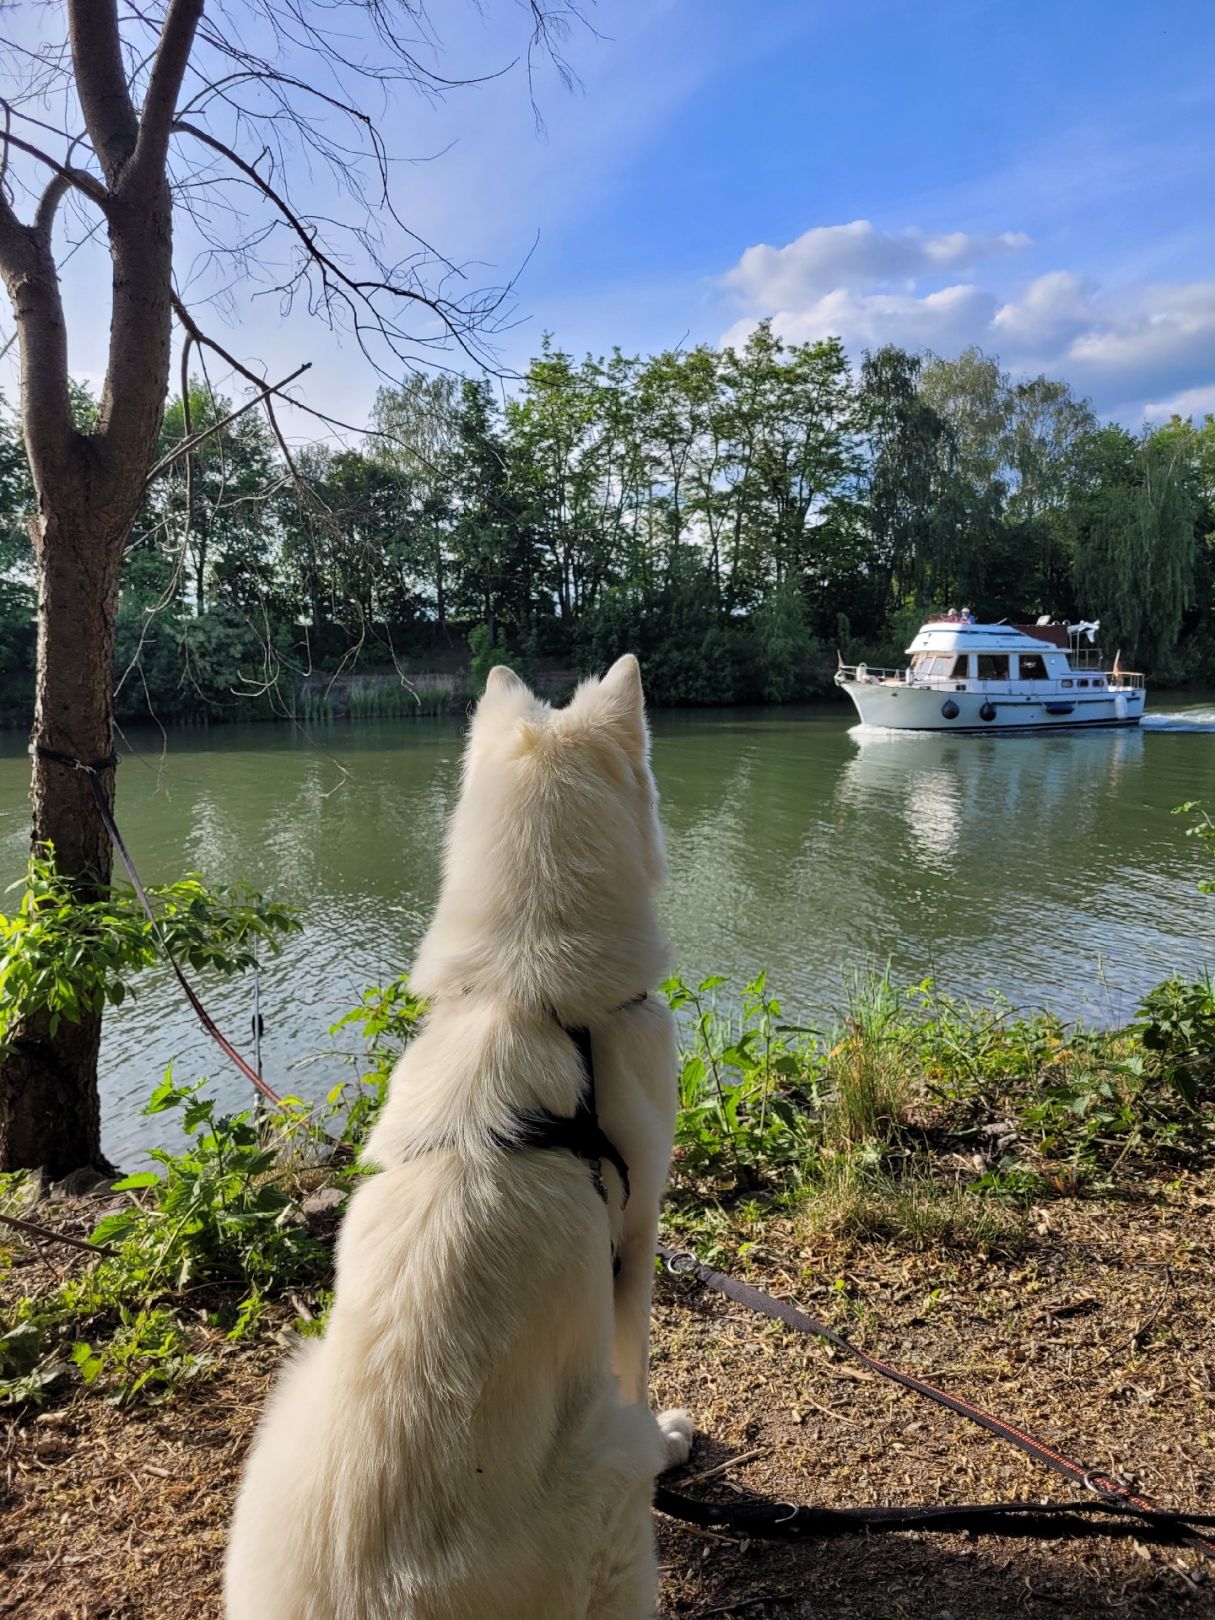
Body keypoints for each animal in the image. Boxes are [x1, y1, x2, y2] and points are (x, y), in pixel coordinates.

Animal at [223, 657, 690, 1620]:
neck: (527, 996)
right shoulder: (634, 1242)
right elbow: (638, 1363)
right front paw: (674, 1438)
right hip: (608, 1480)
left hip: (292, 1394)